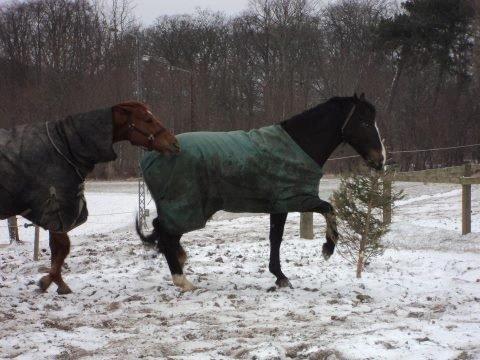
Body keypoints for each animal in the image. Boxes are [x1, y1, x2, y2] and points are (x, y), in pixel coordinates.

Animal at [0, 100, 179, 292]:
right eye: (148, 119)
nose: (175, 143)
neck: (65, 146)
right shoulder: (56, 212)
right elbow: (63, 247)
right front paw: (50, 282)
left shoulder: (57, 216)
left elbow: (58, 249)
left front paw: (55, 282)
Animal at [137, 94, 384, 292]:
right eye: (363, 122)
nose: (380, 160)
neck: (299, 145)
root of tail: (151, 155)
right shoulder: (296, 199)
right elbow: (328, 209)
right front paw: (326, 249)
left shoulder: (280, 204)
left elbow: (276, 237)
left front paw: (280, 276)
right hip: (185, 208)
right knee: (166, 235)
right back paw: (182, 280)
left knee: (164, 233)